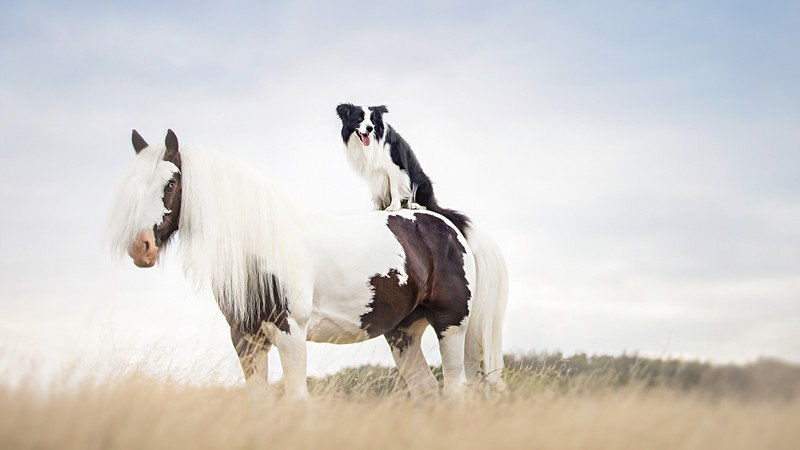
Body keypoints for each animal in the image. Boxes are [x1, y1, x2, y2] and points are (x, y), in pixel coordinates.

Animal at [108, 129, 506, 398]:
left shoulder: (290, 334)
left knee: (453, 392)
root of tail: (442, 222)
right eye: (134, 185)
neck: (262, 243)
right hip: (403, 334)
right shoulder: (245, 339)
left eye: (170, 183)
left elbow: (297, 401)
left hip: (450, 327)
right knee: (425, 392)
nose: (141, 247)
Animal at [336, 103, 468, 236]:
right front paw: (376, 209)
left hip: (420, 180)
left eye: (373, 121)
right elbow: (376, 193)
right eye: (359, 119)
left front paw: (394, 207)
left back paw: (414, 205)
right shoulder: (372, 173)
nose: (370, 128)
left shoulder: (395, 168)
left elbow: (394, 189)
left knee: (427, 205)